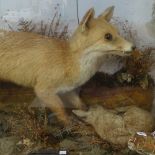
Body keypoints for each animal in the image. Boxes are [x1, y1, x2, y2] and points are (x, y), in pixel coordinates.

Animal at [0, 6, 134, 124]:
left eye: (118, 33)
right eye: (108, 36)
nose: (134, 47)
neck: (68, 61)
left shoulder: (69, 90)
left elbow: (80, 104)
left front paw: (85, 111)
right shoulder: (43, 90)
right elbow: (61, 109)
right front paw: (68, 123)